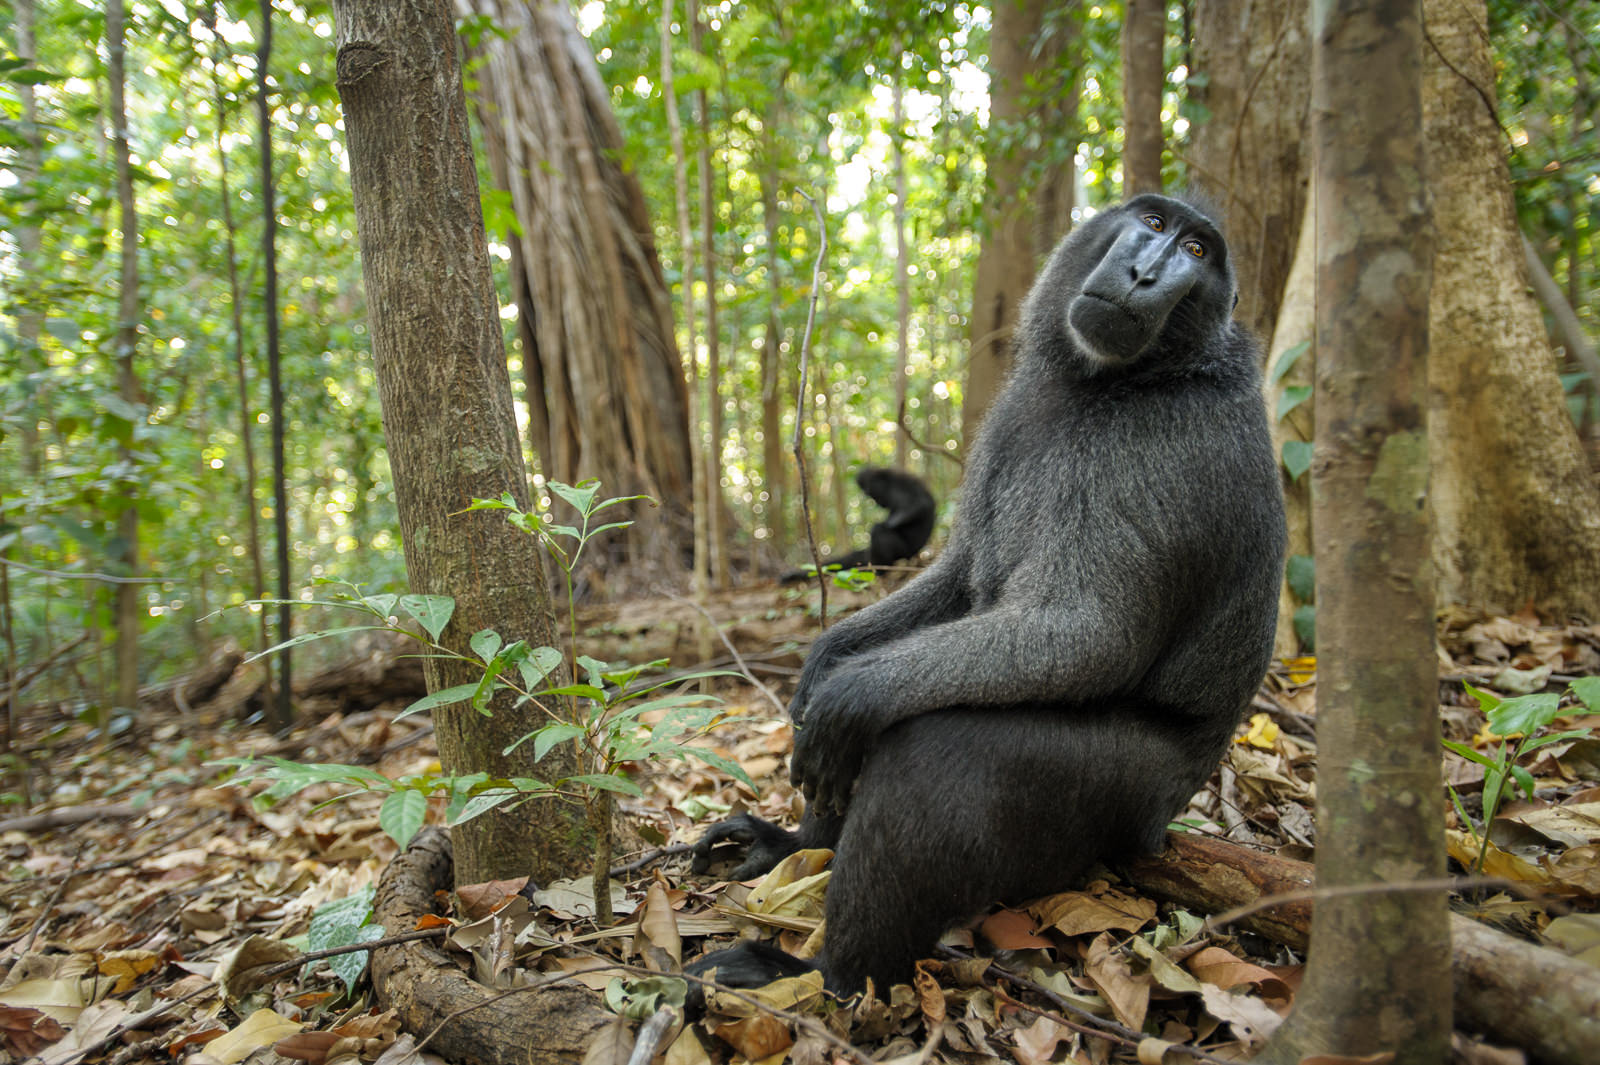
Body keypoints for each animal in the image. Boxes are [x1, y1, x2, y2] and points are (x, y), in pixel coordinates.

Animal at [780, 467, 937, 583]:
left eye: (872, 493)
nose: (879, 503)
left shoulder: (902, 489)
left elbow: (917, 505)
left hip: (903, 552)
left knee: (879, 530)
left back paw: (879, 572)